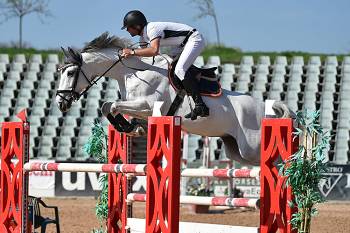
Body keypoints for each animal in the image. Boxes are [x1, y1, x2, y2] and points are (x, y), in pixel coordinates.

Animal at [56, 32, 292, 166]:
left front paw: (125, 126)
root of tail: (266, 107)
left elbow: (111, 105)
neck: (132, 72)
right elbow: (109, 106)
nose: (60, 102)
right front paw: (132, 127)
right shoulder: (140, 108)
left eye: (70, 73)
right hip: (235, 149)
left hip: (251, 147)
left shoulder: (148, 106)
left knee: (278, 159)